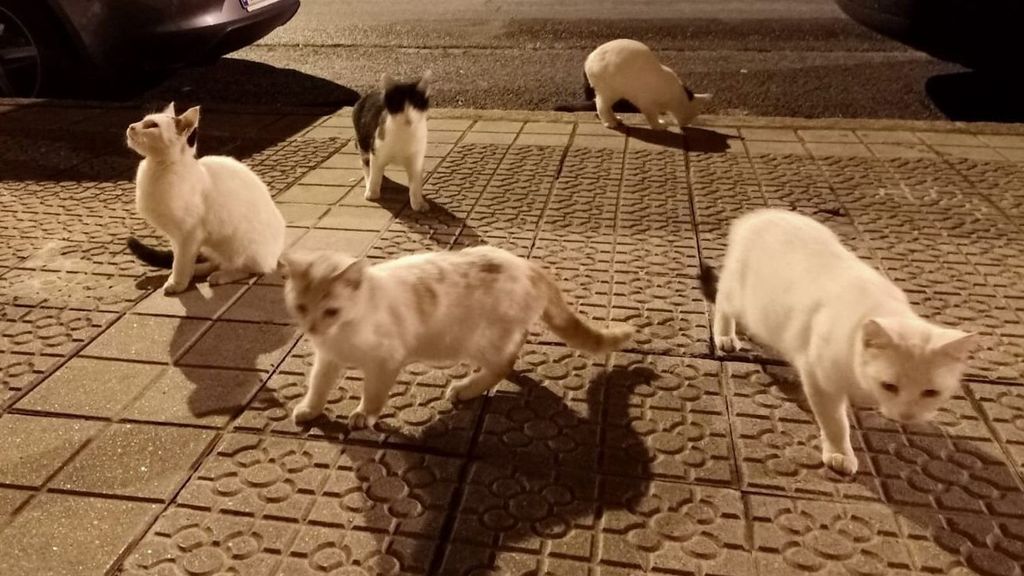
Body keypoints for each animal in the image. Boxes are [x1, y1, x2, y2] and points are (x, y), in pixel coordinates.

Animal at [280, 243, 630, 428]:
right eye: (300, 307)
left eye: (331, 311)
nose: (312, 329)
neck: (346, 330)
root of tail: (532, 268)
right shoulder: (328, 358)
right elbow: (318, 385)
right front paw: (310, 409)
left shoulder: (386, 361)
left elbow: (374, 393)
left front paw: (364, 414)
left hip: (476, 339)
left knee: (503, 362)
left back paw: (466, 388)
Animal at [352, 71, 432, 211]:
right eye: (399, 105)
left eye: (416, 104)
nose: (408, 118)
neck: (404, 134)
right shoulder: (376, 151)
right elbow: (375, 174)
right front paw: (372, 192)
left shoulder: (416, 158)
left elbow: (416, 184)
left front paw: (418, 203)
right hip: (363, 140)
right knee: (365, 163)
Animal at [700, 208, 978, 473]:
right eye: (889, 385)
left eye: (931, 392)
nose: (906, 416)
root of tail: (756, 217)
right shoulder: (820, 381)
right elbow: (836, 423)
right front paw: (840, 453)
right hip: (740, 299)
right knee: (722, 302)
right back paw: (726, 335)